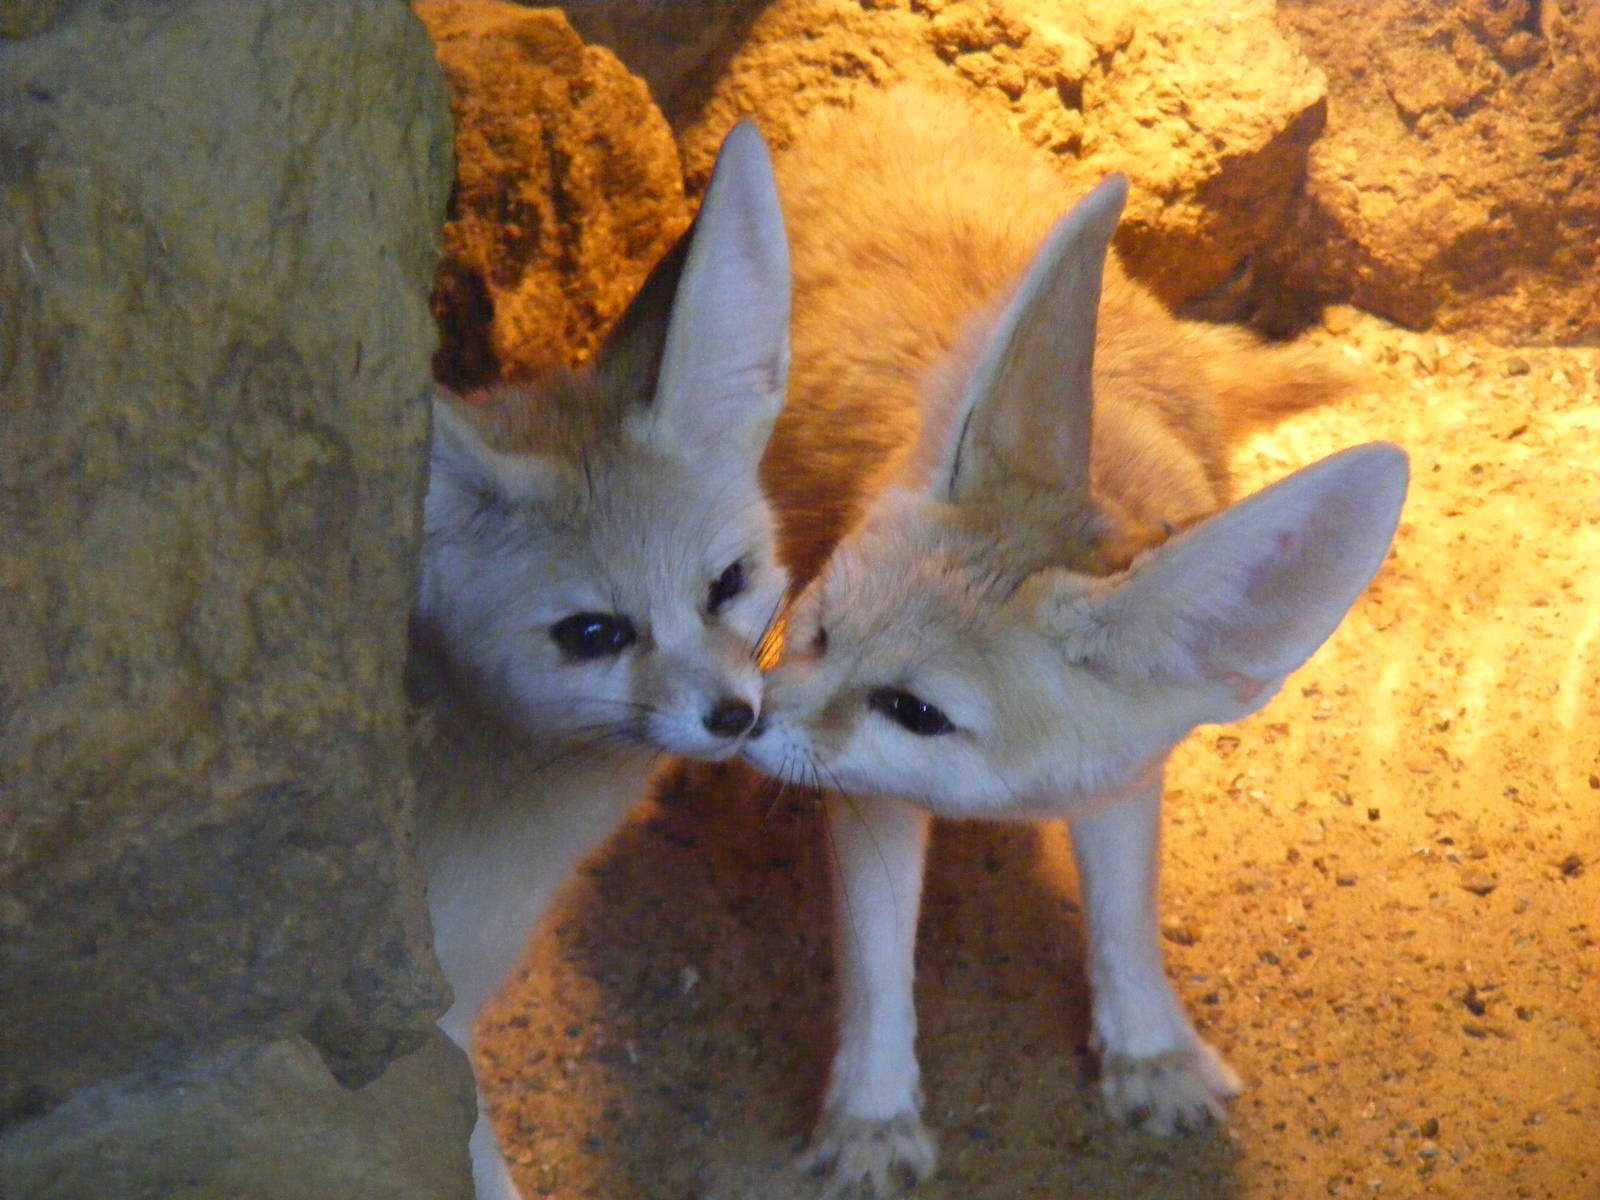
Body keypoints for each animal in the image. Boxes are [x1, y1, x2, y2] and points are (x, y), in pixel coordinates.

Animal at [743, 90, 1409, 1195]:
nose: (741, 727)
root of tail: (895, 98)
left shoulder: (1125, 774)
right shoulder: (868, 798)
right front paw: (872, 1119)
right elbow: (879, 969)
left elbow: (1125, 918)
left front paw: (1150, 1053)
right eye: (818, 632)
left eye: (915, 710)